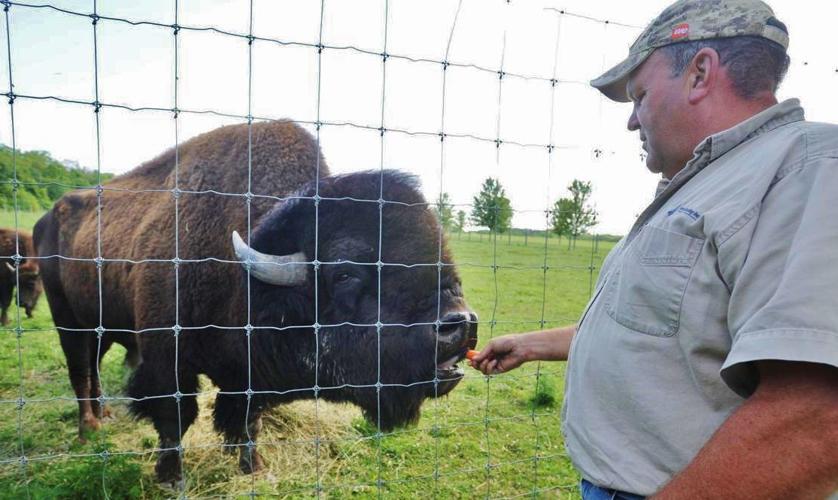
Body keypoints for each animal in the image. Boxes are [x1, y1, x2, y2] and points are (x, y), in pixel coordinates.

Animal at [34, 120, 477, 484]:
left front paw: (255, 469)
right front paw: (171, 477)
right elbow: (174, 420)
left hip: (99, 325)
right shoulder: (166, 363)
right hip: (66, 320)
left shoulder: (247, 378)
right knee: (79, 371)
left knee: (91, 368)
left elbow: (247, 422)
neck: (245, 278)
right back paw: (89, 429)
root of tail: (47, 217)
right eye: (345, 273)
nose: (459, 324)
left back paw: (103, 415)